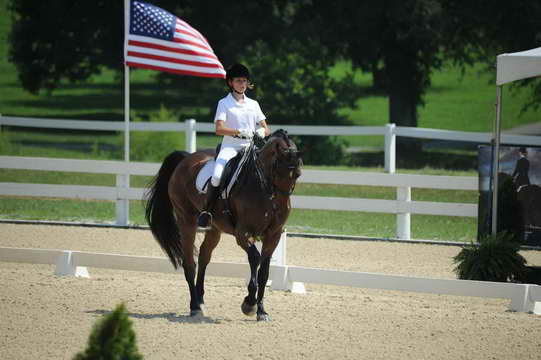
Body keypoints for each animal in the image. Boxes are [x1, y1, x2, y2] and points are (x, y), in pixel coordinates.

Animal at [146, 129, 302, 320]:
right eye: (276, 171)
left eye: (297, 174)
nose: (281, 208)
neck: (263, 188)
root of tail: (186, 158)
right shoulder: (243, 233)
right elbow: (255, 258)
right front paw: (249, 304)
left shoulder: (274, 235)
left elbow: (264, 272)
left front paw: (262, 311)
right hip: (186, 221)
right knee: (189, 263)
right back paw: (194, 306)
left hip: (214, 228)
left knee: (204, 257)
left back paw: (201, 301)